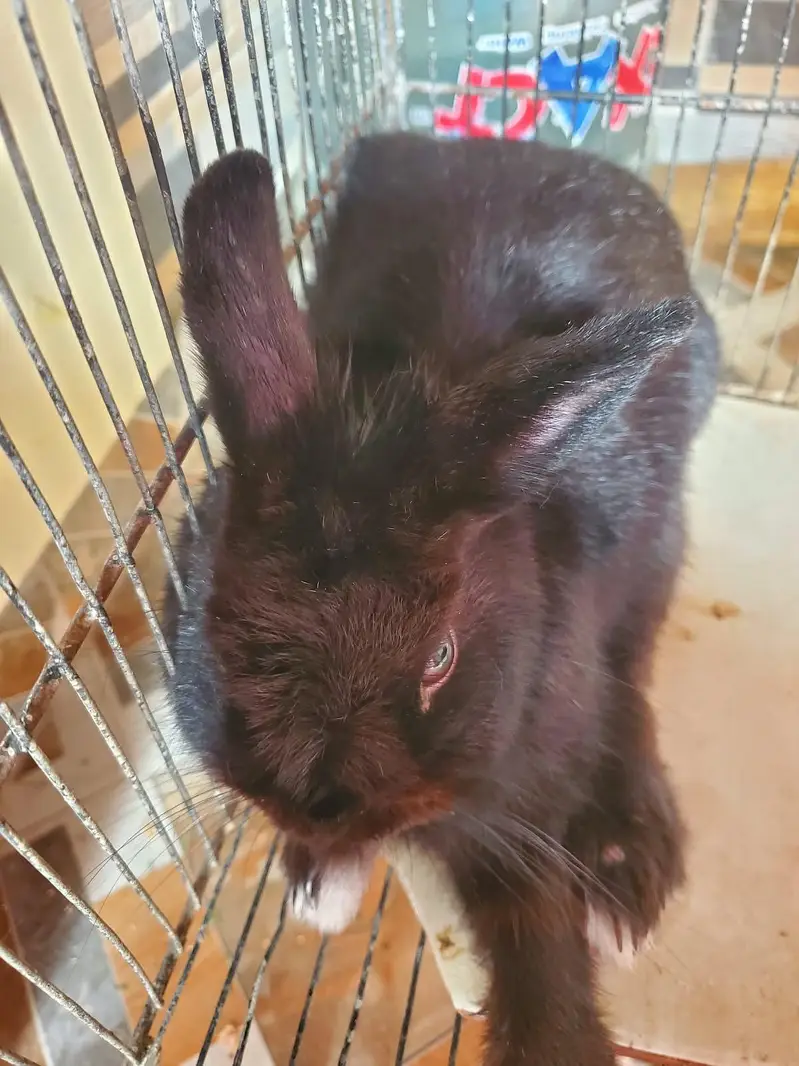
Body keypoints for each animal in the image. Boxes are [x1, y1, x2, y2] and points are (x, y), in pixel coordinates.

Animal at [163, 132, 719, 1065]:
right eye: (212, 626)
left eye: (440, 660)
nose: (319, 802)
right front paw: (318, 876)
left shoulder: (516, 813)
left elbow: (536, 939)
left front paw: (556, 1033)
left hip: (658, 546)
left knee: (631, 677)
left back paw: (620, 864)